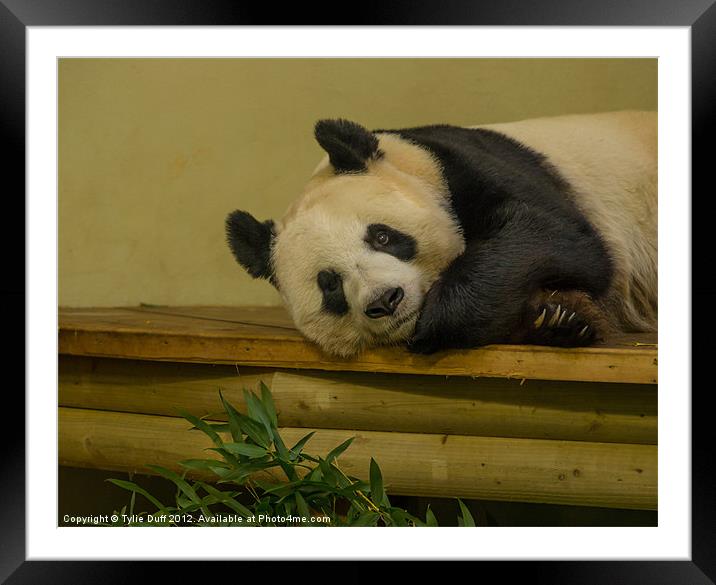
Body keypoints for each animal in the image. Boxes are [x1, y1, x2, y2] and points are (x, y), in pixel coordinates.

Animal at [227, 110, 656, 356]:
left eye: (382, 237)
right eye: (329, 283)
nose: (386, 300)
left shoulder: (472, 167)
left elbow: (554, 235)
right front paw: (557, 319)